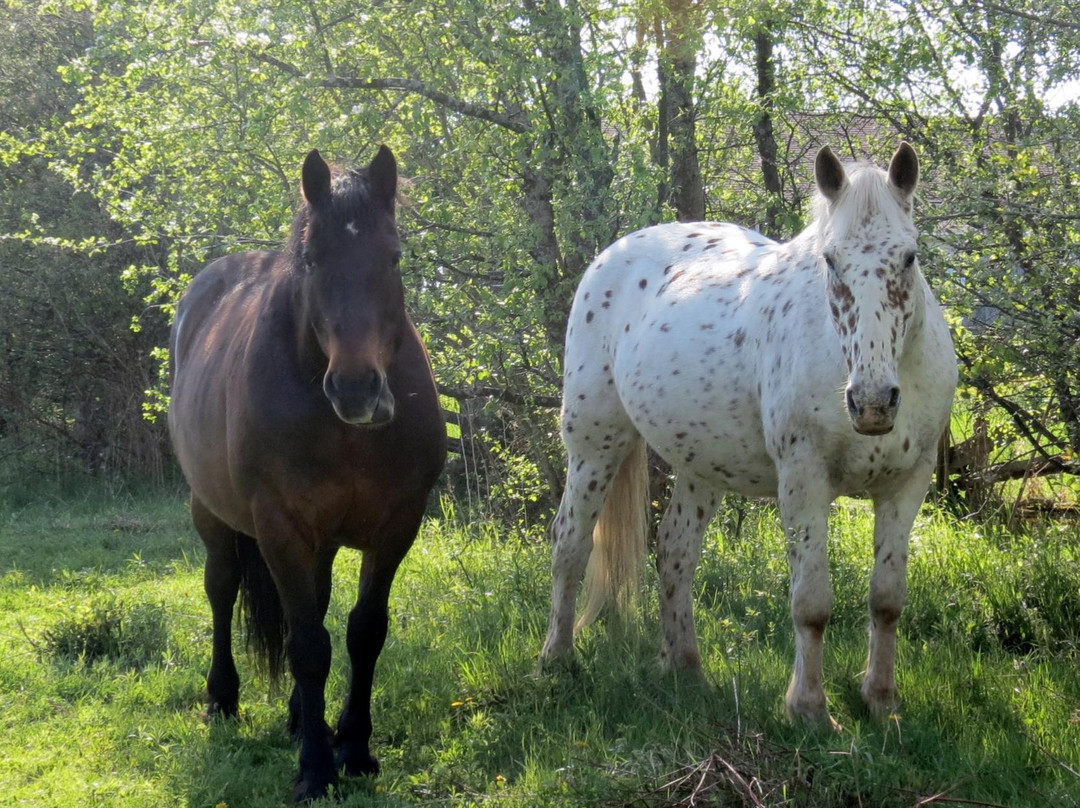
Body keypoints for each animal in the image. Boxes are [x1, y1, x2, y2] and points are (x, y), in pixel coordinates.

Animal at [167, 146, 442, 803]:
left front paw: (355, 749)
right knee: (221, 589)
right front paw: (317, 770)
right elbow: (308, 645)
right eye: (314, 259)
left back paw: (298, 716)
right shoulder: (280, 527)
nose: (357, 389)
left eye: (393, 256)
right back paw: (223, 698)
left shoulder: (397, 526)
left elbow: (363, 631)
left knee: (313, 602)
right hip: (210, 513)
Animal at [544, 143, 959, 725]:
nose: (873, 402)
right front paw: (809, 709)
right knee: (571, 544)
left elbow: (887, 599)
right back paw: (557, 659)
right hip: (594, 445)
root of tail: (614, 254)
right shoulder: (803, 482)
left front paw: (881, 701)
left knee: (675, 551)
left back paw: (686, 669)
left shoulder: (906, 485)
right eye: (831, 261)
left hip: (700, 466)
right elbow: (811, 604)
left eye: (910, 257)